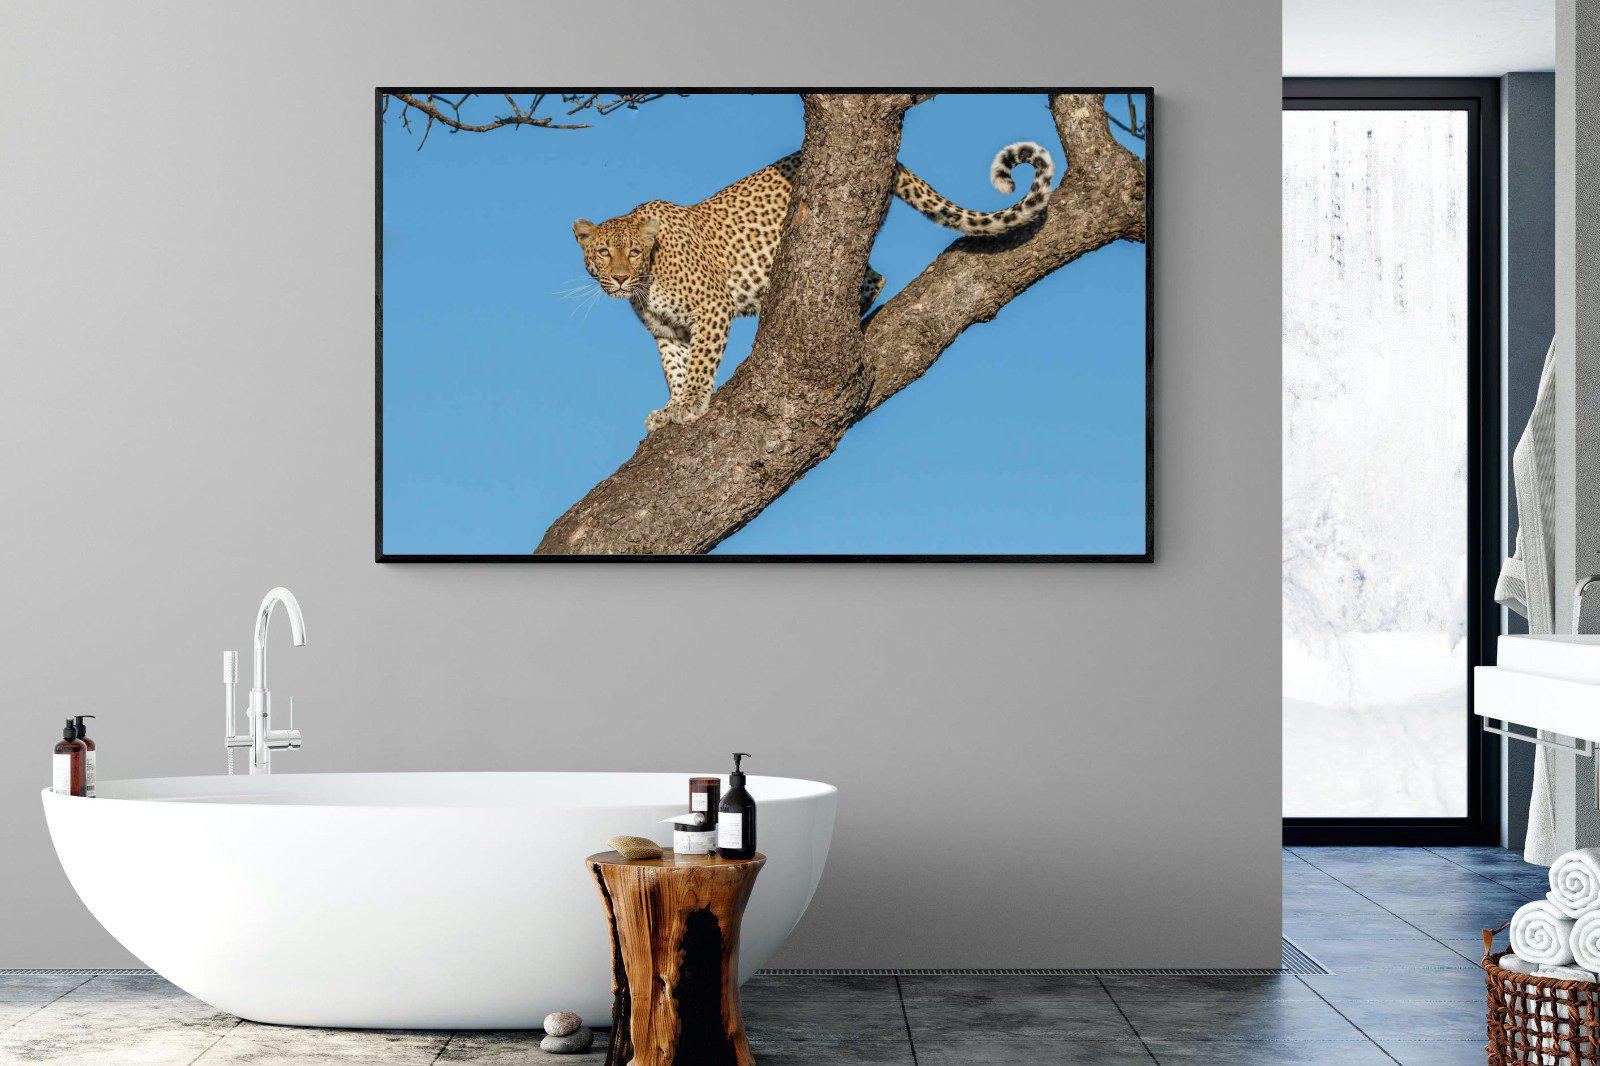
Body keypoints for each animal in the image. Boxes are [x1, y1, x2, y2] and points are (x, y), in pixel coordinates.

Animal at [573, 141, 1054, 434]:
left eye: (634, 252)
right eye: (603, 253)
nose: (619, 277)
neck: (647, 281)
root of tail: (892, 162)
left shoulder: (712, 308)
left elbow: (699, 366)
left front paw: (691, 404)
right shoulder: (667, 331)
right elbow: (674, 367)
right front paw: (670, 408)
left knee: (869, 278)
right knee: (875, 276)